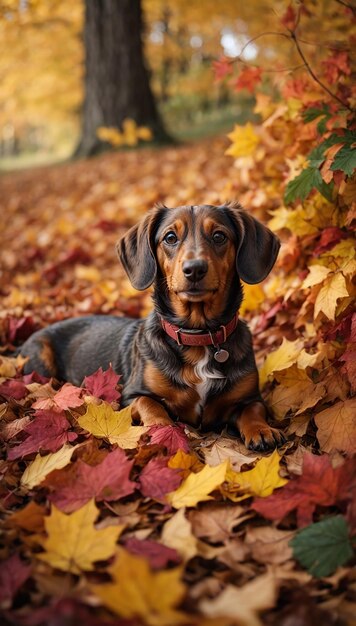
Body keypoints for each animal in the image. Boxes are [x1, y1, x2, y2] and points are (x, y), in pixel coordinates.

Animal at [20, 202, 286, 450]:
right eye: (170, 237)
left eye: (219, 236)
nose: (194, 269)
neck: (198, 335)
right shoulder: (131, 395)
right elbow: (151, 405)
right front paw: (163, 429)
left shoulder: (250, 397)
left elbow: (254, 410)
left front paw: (262, 430)